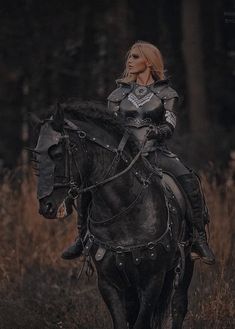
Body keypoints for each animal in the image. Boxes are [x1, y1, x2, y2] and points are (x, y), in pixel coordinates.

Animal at [33, 100, 195, 328]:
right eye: (37, 155)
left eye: (57, 153)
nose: (46, 207)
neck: (123, 212)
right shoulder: (109, 283)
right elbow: (122, 321)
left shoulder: (152, 280)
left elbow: (142, 322)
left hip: (186, 263)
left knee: (179, 306)